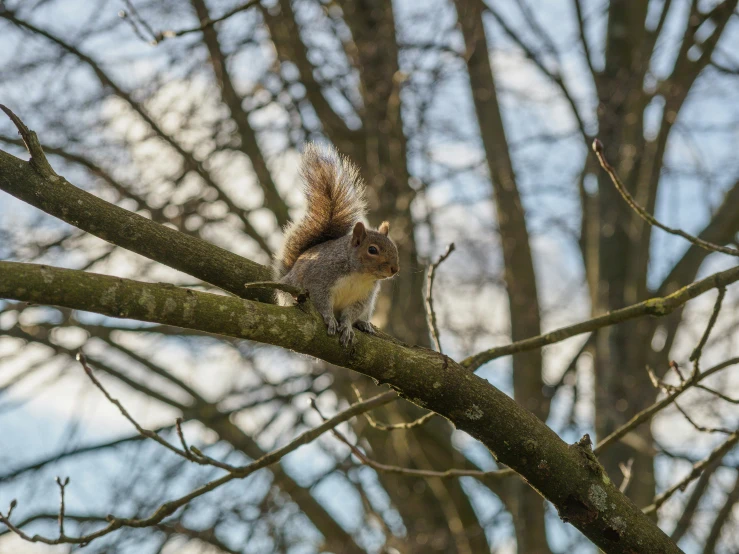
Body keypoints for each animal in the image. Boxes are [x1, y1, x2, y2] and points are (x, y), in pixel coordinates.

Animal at [274, 142, 398, 344]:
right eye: (372, 250)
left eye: (395, 248)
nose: (394, 269)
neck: (359, 275)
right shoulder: (319, 279)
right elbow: (321, 301)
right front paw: (330, 319)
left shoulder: (363, 297)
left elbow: (350, 314)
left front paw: (347, 327)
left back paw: (363, 323)